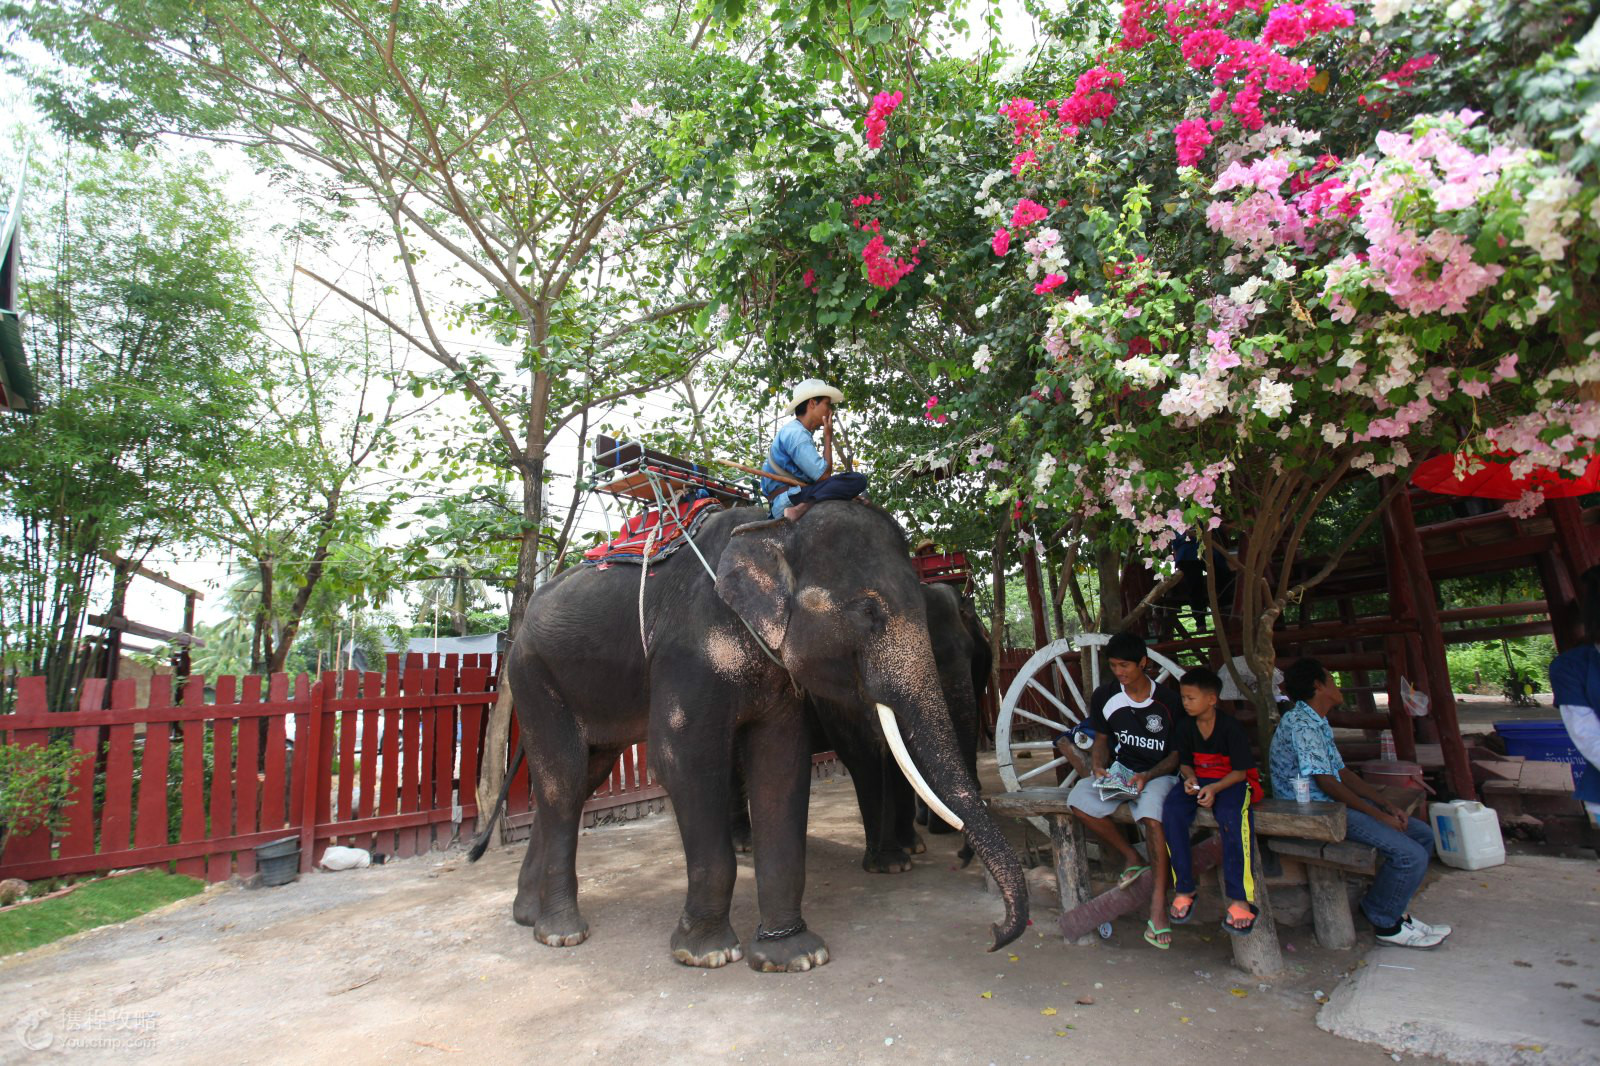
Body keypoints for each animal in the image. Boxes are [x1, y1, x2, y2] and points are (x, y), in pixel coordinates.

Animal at [505, 502, 1030, 966]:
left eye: (977, 657)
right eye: (867, 612)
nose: (993, 933)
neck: (774, 526)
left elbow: (782, 764)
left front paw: (793, 954)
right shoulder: (688, 652)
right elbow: (684, 761)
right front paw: (708, 953)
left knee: (578, 781)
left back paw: (528, 916)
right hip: (531, 676)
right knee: (564, 780)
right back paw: (562, 932)